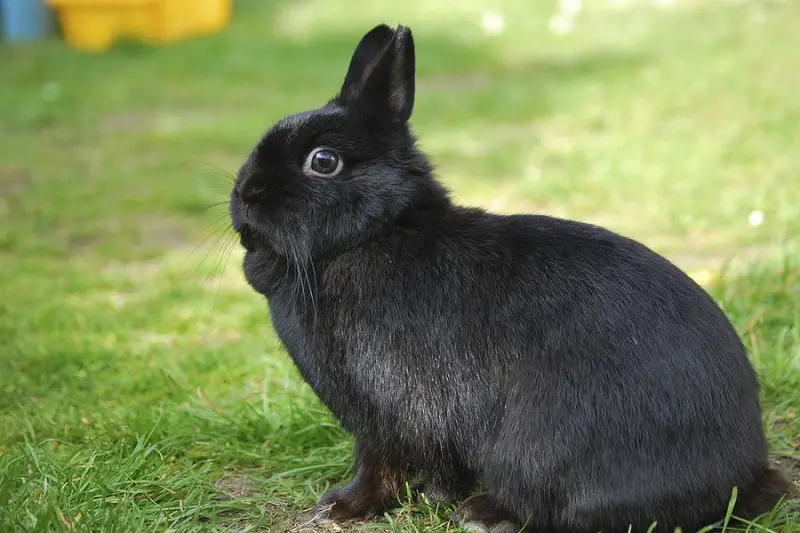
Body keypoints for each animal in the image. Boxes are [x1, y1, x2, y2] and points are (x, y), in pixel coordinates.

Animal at [228, 22, 792, 528]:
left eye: (323, 161)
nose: (246, 194)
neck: (376, 234)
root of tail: (738, 480)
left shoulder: (390, 409)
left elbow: (386, 464)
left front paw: (354, 506)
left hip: (540, 448)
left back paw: (484, 514)